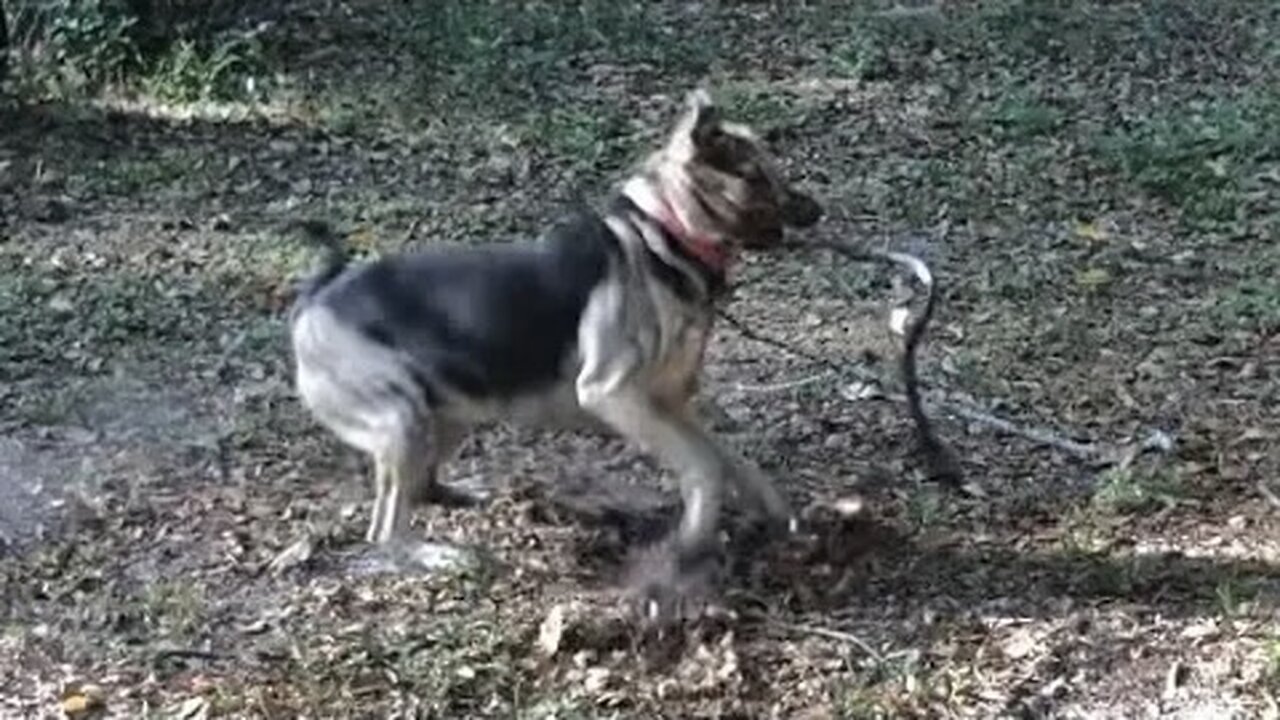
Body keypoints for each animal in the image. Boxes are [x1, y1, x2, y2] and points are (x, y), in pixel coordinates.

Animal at [286, 89, 824, 602]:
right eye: (755, 177)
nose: (816, 211)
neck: (664, 234)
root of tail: (317, 295)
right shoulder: (614, 395)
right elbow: (705, 465)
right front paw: (692, 541)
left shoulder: (669, 402)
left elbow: (730, 458)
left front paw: (772, 508)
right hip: (402, 418)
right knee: (385, 529)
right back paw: (437, 555)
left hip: (448, 413)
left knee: (422, 487)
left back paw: (469, 495)